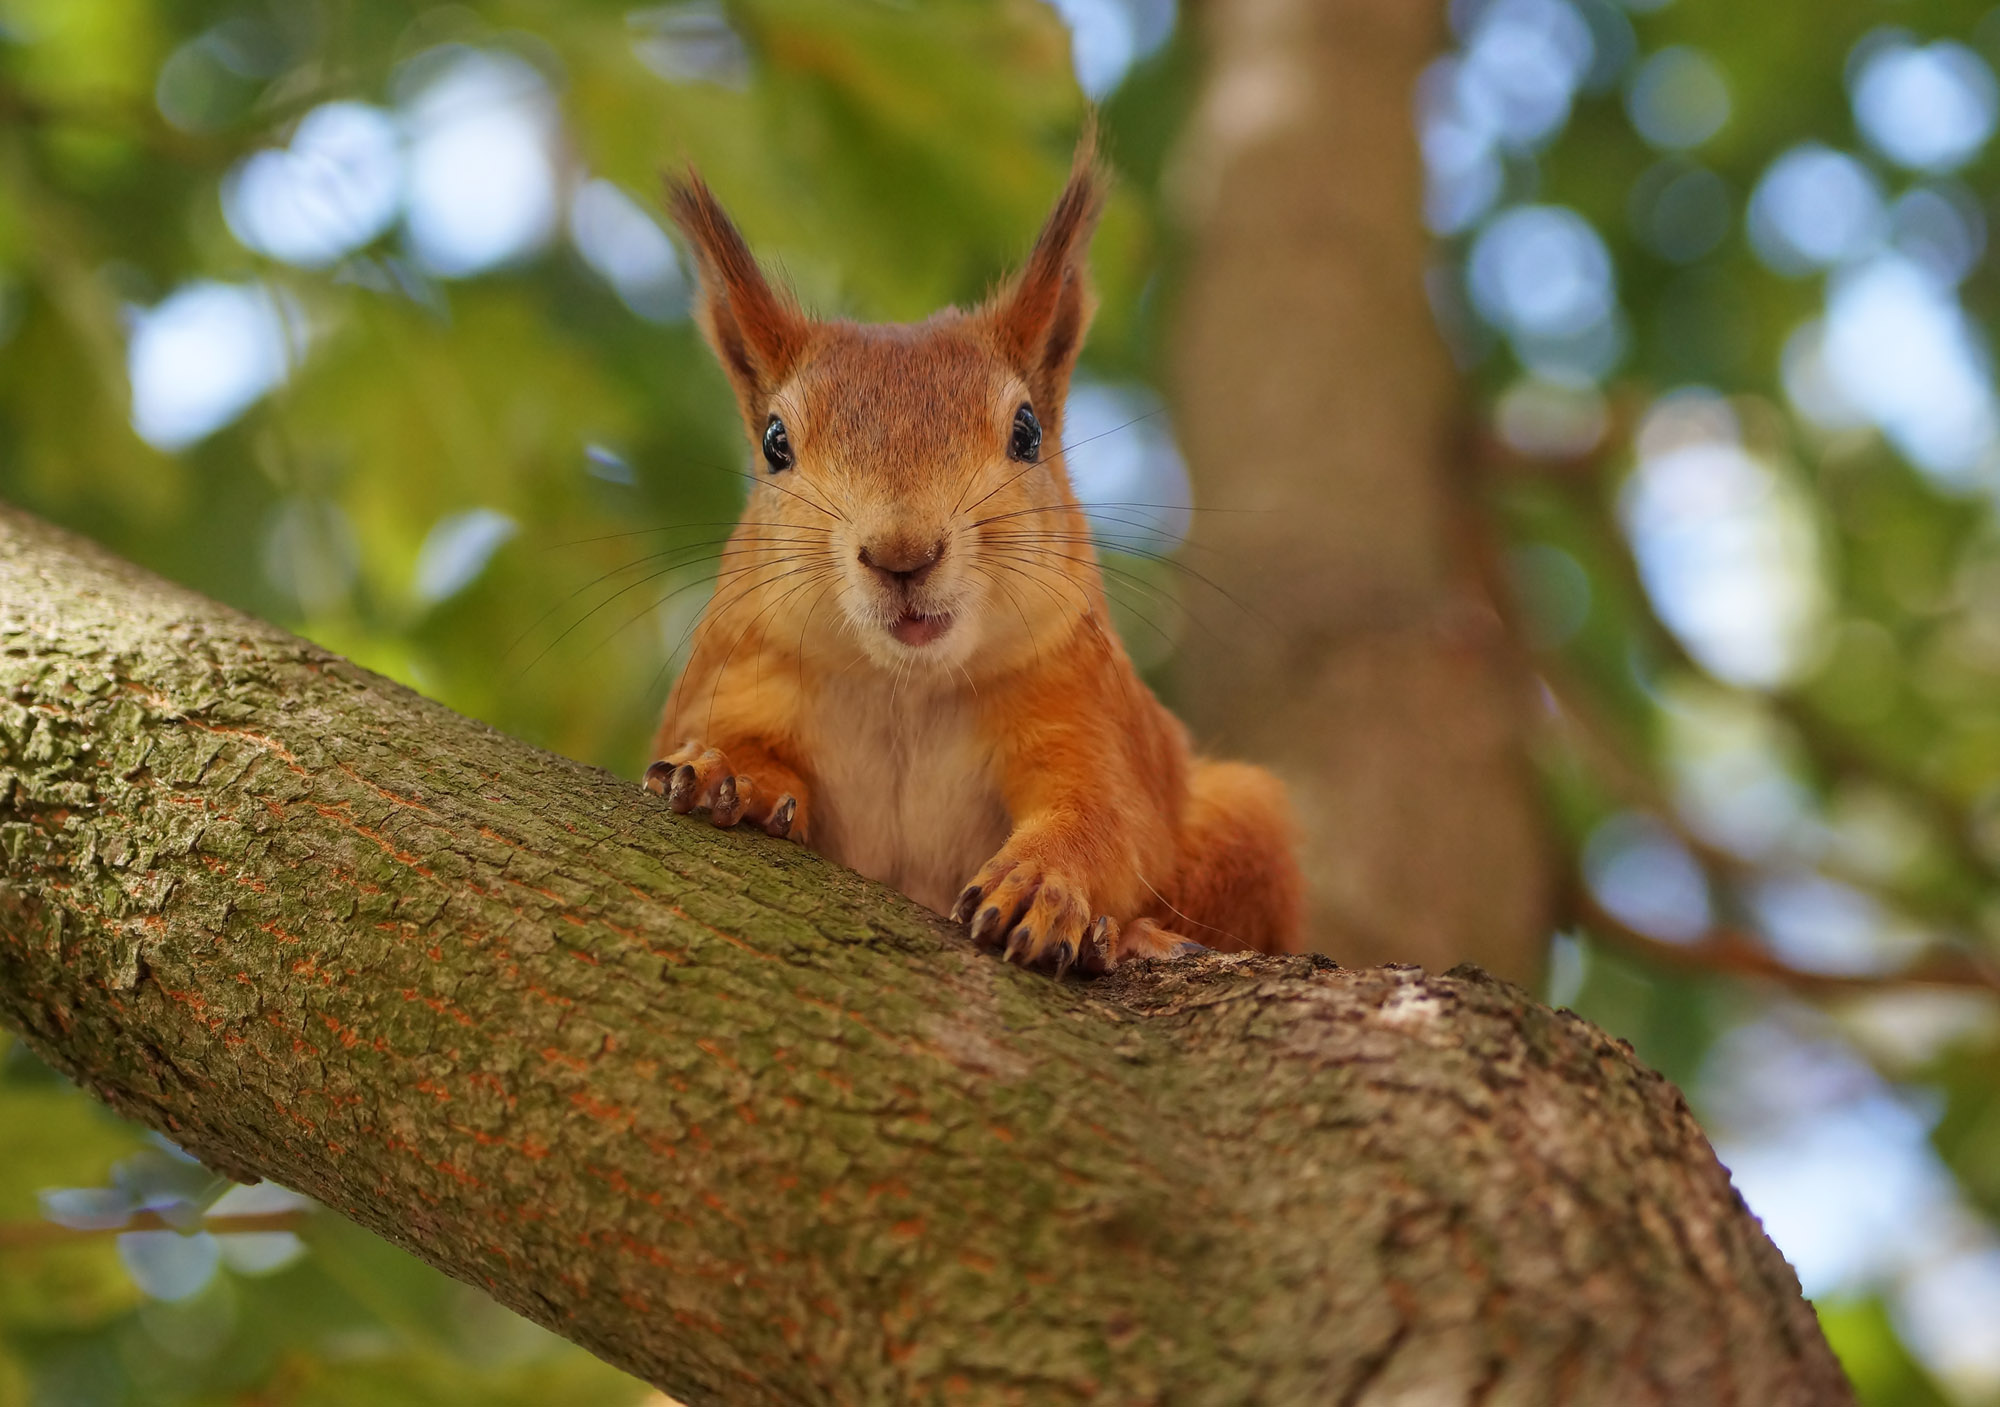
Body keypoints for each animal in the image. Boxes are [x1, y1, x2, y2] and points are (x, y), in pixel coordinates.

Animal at [636, 137, 1296, 979]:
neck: (905, 690)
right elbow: (732, 742)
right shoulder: (732, 680)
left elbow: (1110, 819)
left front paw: (1041, 880)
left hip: (1250, 816)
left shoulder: (1089, 713)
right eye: (775, 442)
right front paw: (734, 769)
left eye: (1027, 431)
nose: (902, 554)